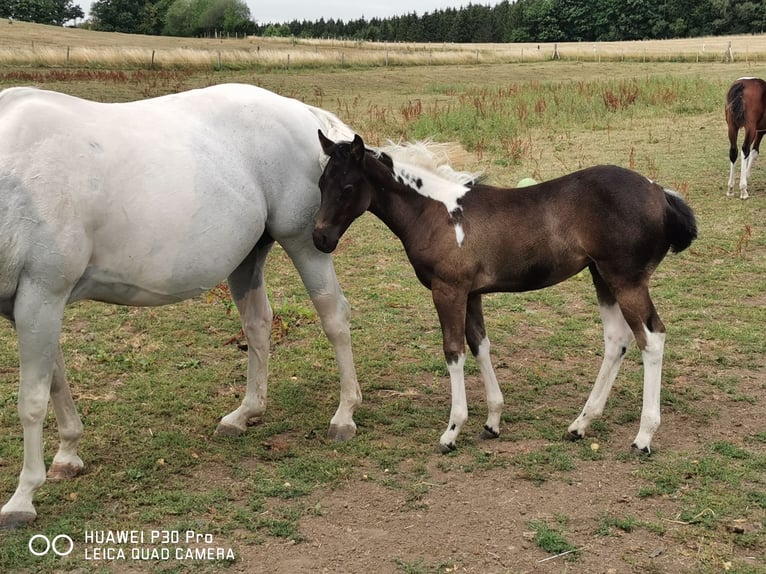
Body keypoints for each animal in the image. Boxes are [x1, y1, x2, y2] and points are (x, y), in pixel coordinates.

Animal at [0, 84, 364, 530]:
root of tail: (300, 112)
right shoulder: (28, 306)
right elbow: (55, 380)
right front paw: (68, 454)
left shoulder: (42, 294)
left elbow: (32, 400)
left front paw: (22, 498)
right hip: (248, 256)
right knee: (258, 326)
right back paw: (244, 414)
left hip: (305, 244)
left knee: (334, 318)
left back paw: (344, 415)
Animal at [313, 131, 697, 456]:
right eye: (320, 183)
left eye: (348, 187)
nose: (320, 238)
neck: (436, 211)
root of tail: (660, 193)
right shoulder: (471, 294)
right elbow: (479, 345)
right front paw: (492, 422)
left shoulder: (448, 290)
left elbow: (453, 351)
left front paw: (452, 432)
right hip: (602, 277)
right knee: (617, 339)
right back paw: (580, 424)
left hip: (627, 280)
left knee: (652, 338)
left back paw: (643, 437)